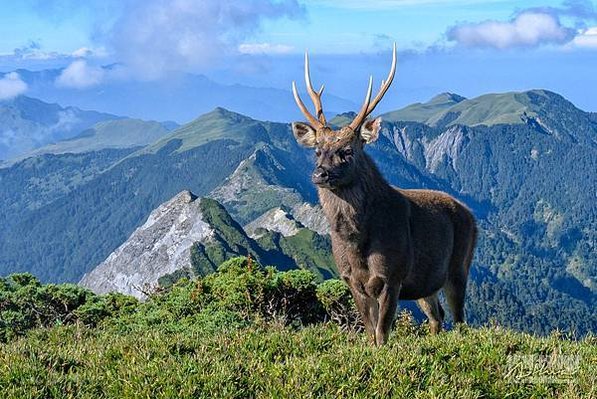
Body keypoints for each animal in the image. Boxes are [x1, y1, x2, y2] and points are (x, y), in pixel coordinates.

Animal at [288, 42, 474, 346]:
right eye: (317, 151)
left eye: (347, 150)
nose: (319, 174)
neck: (357, 245)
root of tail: (471, 215)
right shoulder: (351, 279)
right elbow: (369, 333)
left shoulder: (393, 275)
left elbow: (382, 333)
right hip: (426, 283)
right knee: (437, 317)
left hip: (460, 265)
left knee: (460, 320)